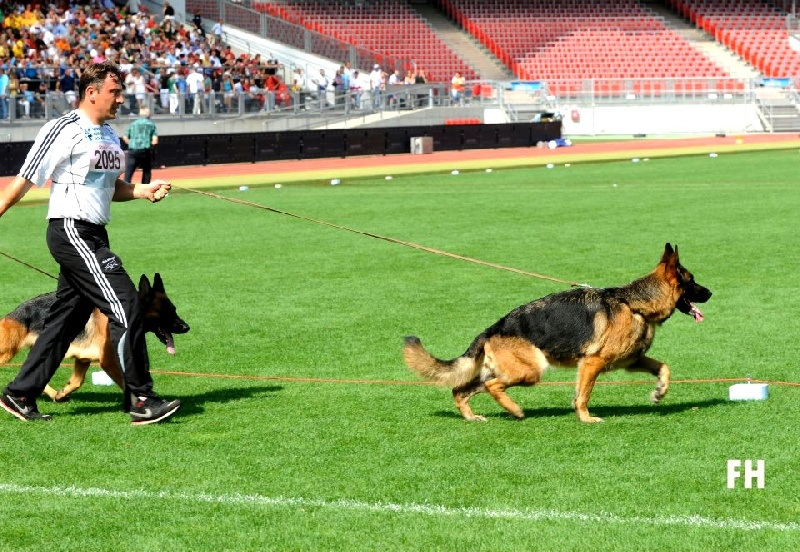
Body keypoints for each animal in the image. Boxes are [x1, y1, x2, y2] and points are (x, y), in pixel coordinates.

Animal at [0, 274, 189, 402]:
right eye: (166, 312)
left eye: (174, 309)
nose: (187, 327)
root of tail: (13, 313)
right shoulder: (109, 361)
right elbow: (125, 383)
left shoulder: (83, 359)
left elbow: (77, 381)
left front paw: (62, 393)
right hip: (7, 352)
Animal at [406, 243, 712, 422]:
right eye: (692, 281)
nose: (711, 292)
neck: (634, 304)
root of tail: (491, 329)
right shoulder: (592, 363)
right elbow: (583, 395)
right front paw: (586, 418)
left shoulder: (631, 361)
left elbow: (664, 368)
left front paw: (660, 392)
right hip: (530, 370)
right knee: (493, 386)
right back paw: (515, 410)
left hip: (498, 372)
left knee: (460, 390)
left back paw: (472, 417)